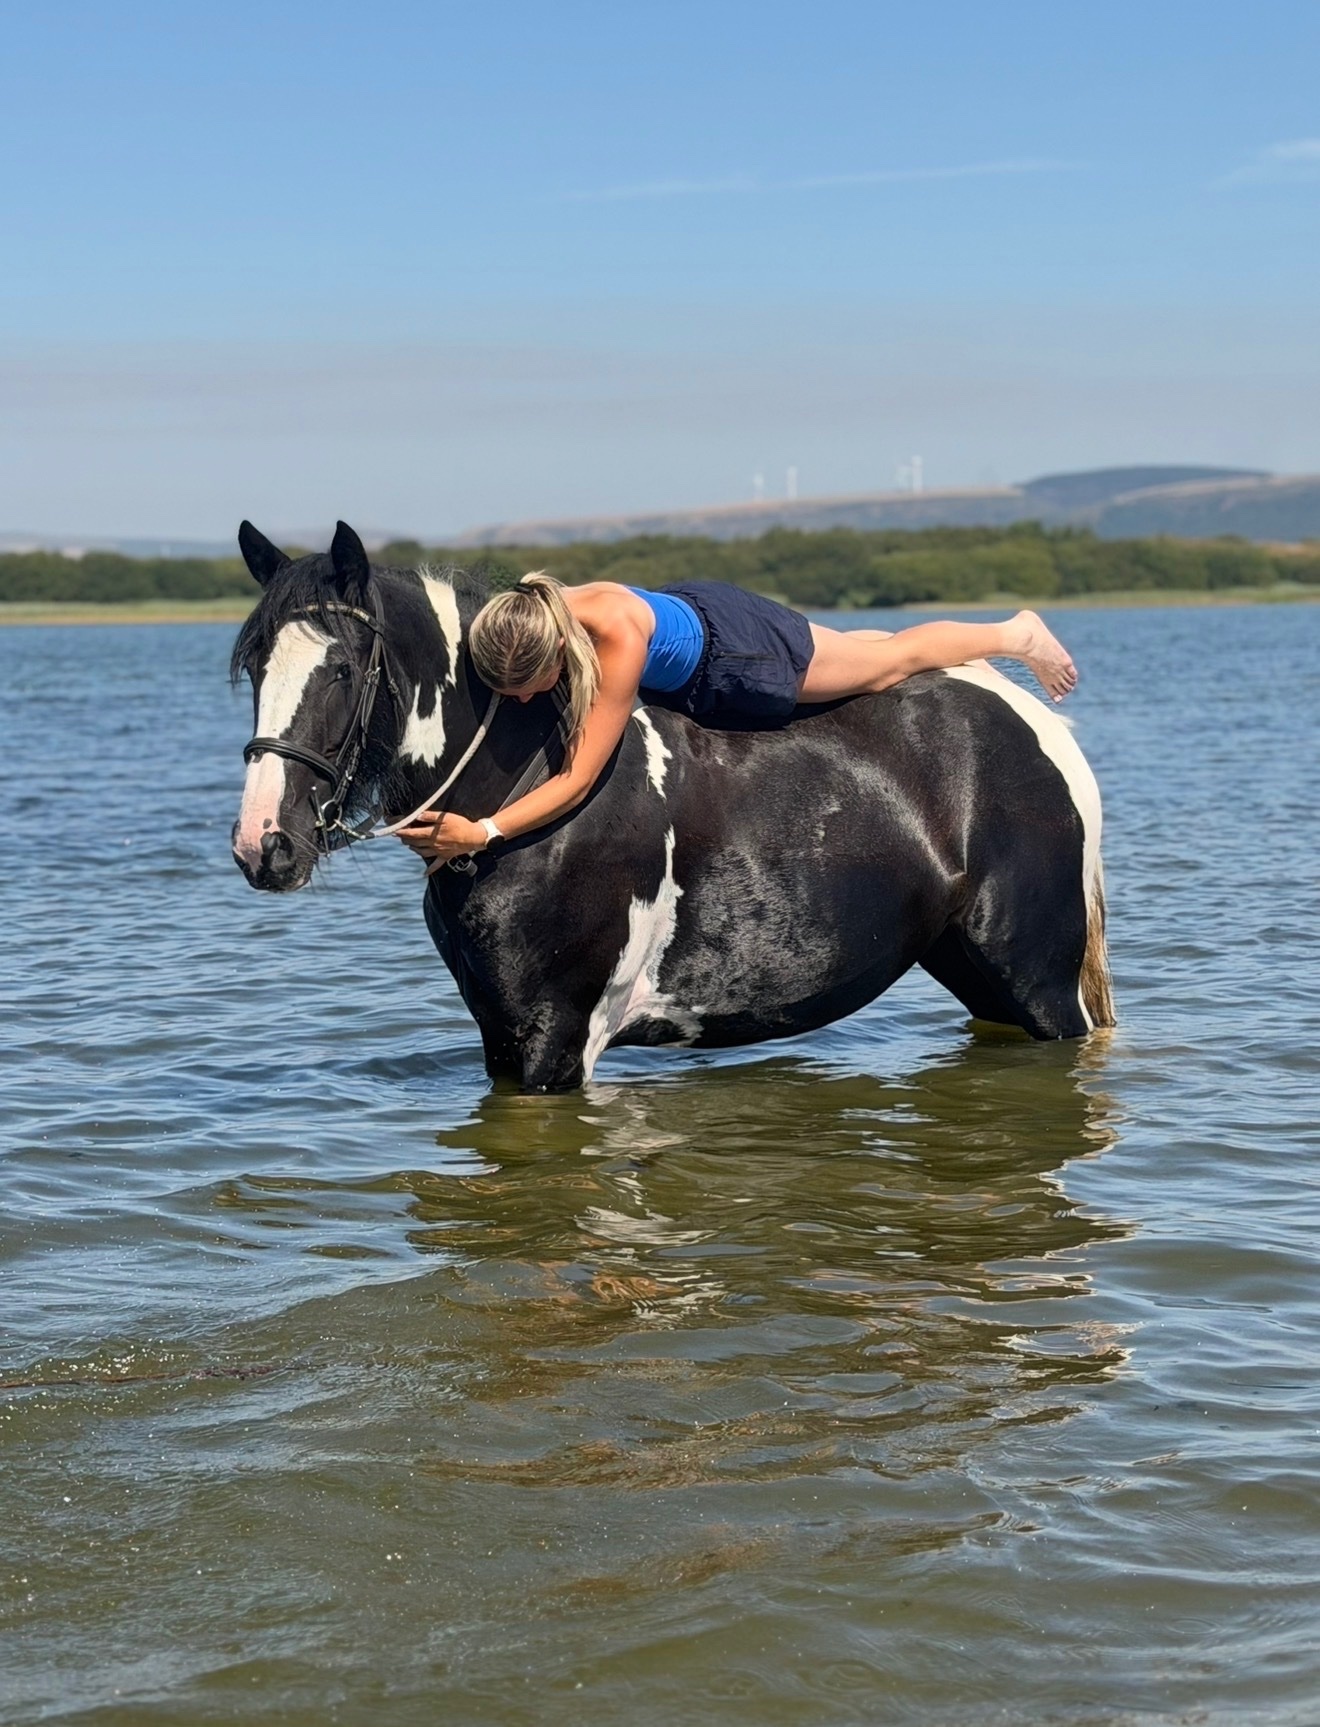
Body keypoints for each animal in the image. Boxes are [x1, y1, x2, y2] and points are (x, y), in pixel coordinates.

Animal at [230, 521, 1114, 1093]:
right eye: (253, 664)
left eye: (342, 668)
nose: (263, 843)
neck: (525, 801)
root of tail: (1040, 728)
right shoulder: (499, 1032)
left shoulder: (556, 1036)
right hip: (975, 970)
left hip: (1038, 981)